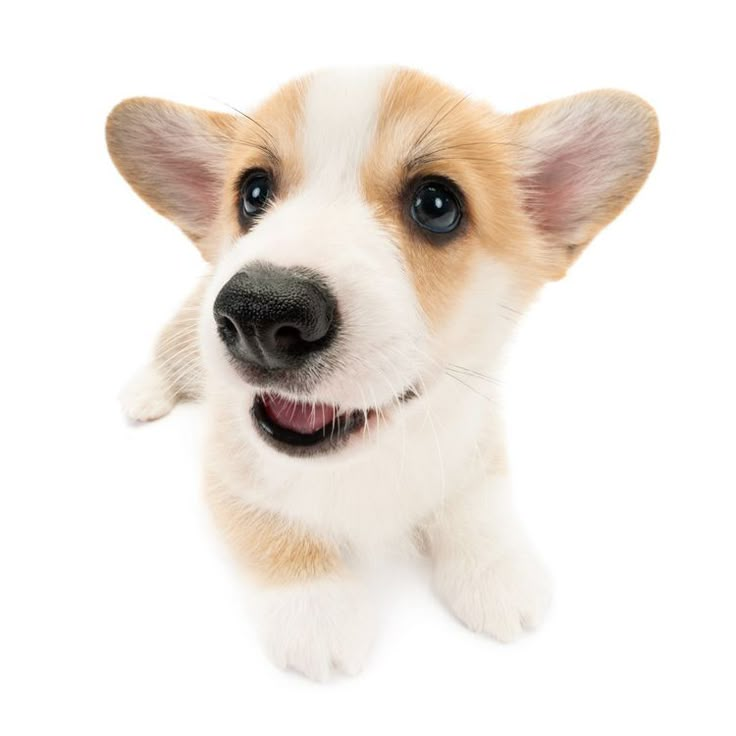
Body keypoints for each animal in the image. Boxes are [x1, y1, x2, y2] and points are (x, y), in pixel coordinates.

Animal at [106, 67, 660, 680]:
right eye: (252, 193)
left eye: (437, 205)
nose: (259, 313)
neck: (374, 452)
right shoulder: (230, 472)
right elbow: (271, 524)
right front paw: (315, 607)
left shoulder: (477, 439)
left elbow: (477, 498)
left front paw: (497, 570)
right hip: (189, 328)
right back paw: (143, 392)